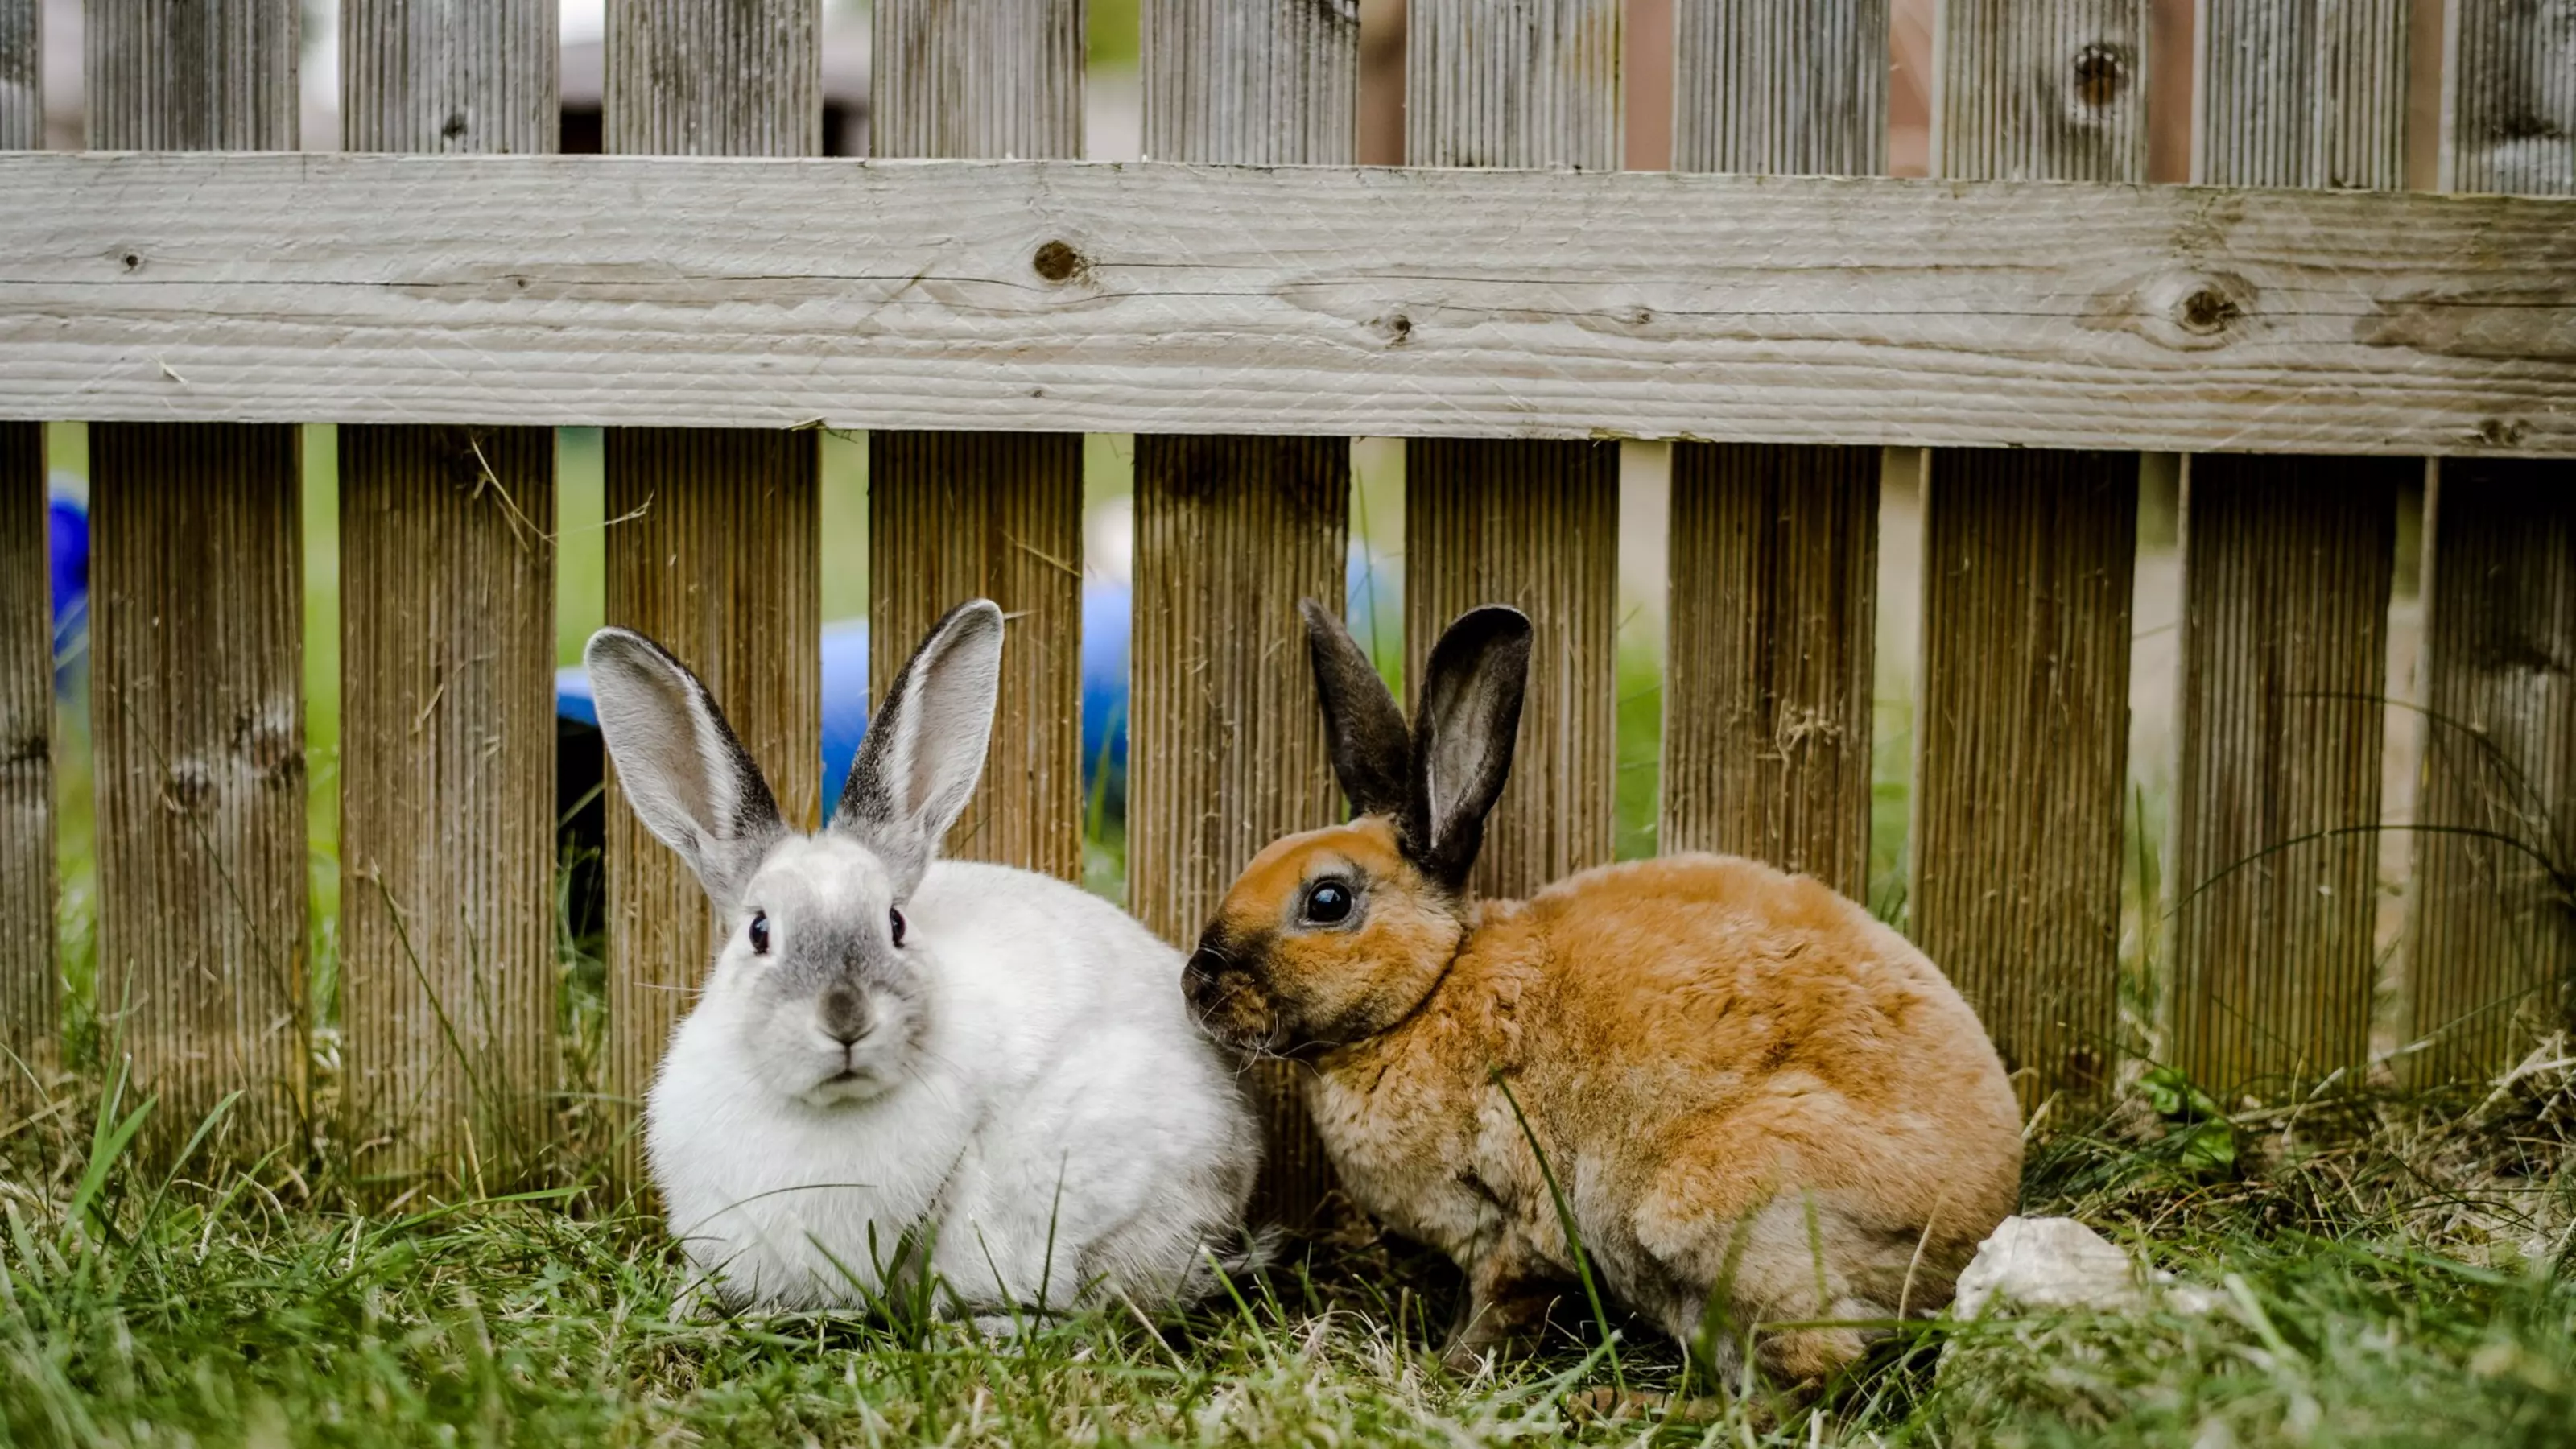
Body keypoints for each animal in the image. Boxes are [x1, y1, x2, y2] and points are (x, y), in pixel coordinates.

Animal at [1190, 603, 2029, 1381]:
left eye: (1327, 901)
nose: (1195, 982)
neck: (1432, 989)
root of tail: (1970, 1224)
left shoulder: (1513, 1228)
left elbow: (1497, 1308)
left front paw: (1446, 1368)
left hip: (1721, 1219)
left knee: (1818, 1374)